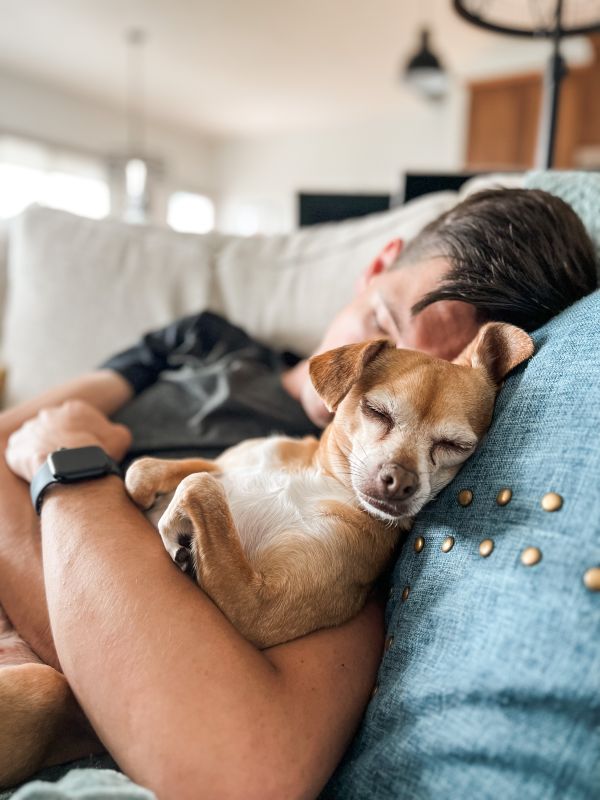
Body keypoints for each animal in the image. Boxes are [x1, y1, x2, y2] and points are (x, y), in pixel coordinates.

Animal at [124, 322, 532, 648]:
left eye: (455, 446)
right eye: (376, 411)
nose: (400, 480)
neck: (322, 478)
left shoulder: (256, 608)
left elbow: (201, 485)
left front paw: (174, 529)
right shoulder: (229, 461)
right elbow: (146, 469)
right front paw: (151, 499)